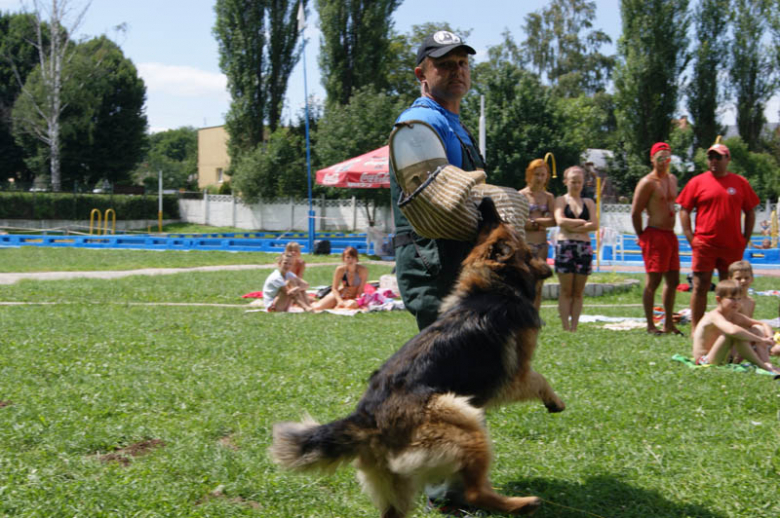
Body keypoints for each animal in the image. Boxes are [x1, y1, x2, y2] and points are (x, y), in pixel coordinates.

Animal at [272, 200, 564, 518]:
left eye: (488, 223)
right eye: (500, 225)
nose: (484, 202)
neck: (493, 286)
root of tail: (366, 420)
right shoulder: (517, 374)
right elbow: (539, 379)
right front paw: (555, 401)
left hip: (396, 483)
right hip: (464, 420)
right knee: (475, 491)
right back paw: (521, 503)